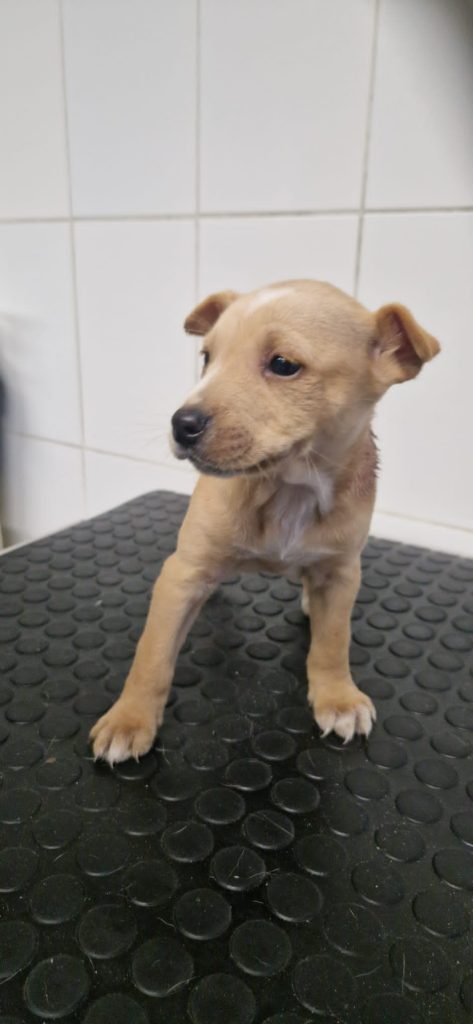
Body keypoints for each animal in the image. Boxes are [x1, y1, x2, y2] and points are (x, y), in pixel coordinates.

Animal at [91, 280, 439, 765]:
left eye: (283, 365)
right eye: (207, 358)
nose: (182, 424)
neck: (288, 490)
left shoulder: (341, 573)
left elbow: (334, 642)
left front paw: (338, 698)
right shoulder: (183, 573)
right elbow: (153, 655)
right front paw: (130, 719)